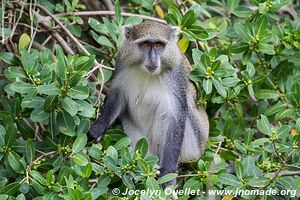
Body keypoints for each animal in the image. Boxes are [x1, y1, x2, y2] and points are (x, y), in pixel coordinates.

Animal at [89, 21, 209, 186]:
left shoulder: (175, 75)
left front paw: (168, 173)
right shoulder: (122, 61)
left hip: (192, 147)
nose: (153, 59)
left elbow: (175, 115)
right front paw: (98, 128)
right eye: (145, 45)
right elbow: (118, 96)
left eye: (158, 45)